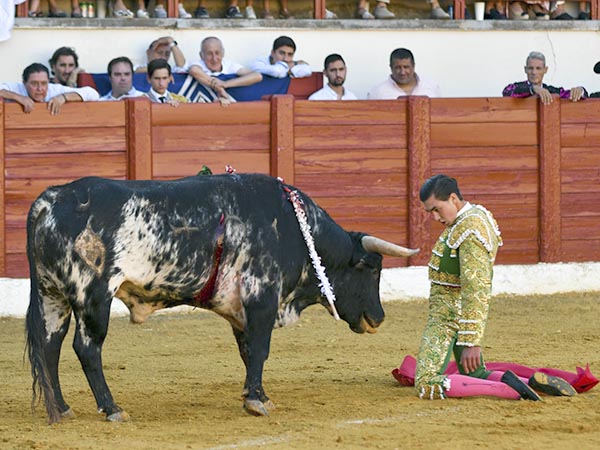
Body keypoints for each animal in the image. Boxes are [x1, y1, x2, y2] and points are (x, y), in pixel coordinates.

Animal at [23, 172, 418, 422]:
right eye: (371, 268)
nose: (378, 318)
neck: (295, 228)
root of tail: (51, 199)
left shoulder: (241, 309)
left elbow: (247, 351)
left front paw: (257, 395)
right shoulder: (262, 297)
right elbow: (260, 349)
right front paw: (257, 402)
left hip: (52, 294)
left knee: (50, 345)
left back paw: (62, 408)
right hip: (92, 297)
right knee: (87, 349)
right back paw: (112, 409)